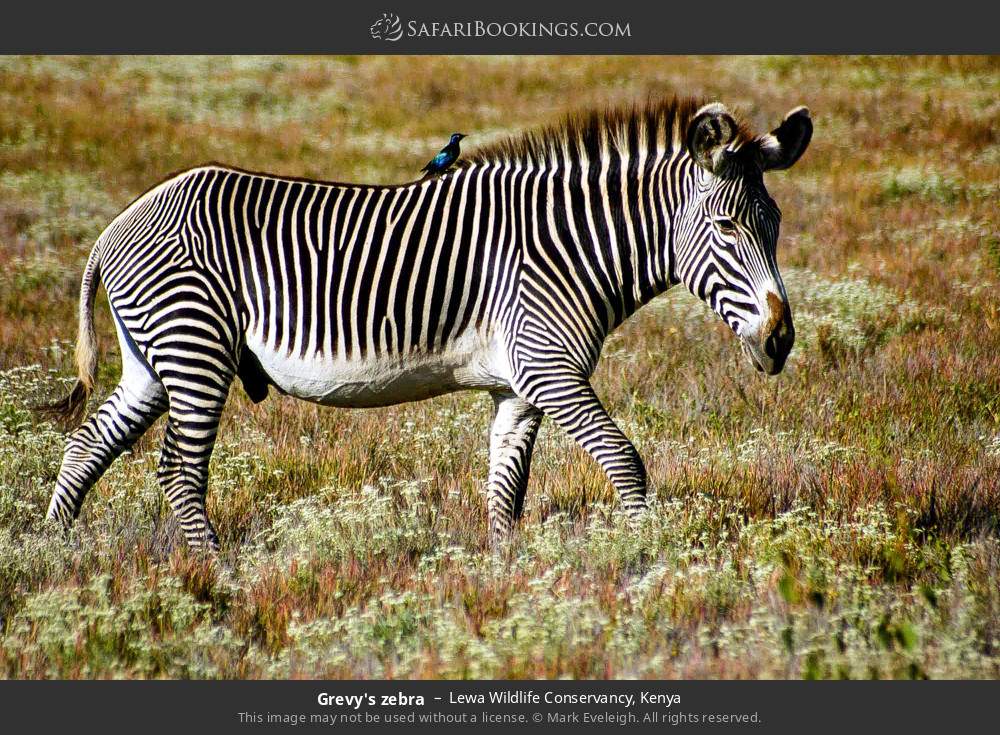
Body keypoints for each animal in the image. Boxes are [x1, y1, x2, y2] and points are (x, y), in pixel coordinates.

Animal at [39, 97, 812, 551]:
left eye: (775, 225)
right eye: (727, 228)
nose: (780, 340)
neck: (569, 244)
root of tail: (116, 225)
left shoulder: (518, 385)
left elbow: (506, 487)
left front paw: (504, 577)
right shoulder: (552, 368)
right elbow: (626, 460)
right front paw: (649, 558)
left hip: (151, 359)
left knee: (86, 445)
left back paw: (52, 556)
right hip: (194, 349)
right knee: (178, 469)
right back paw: (217, 572)